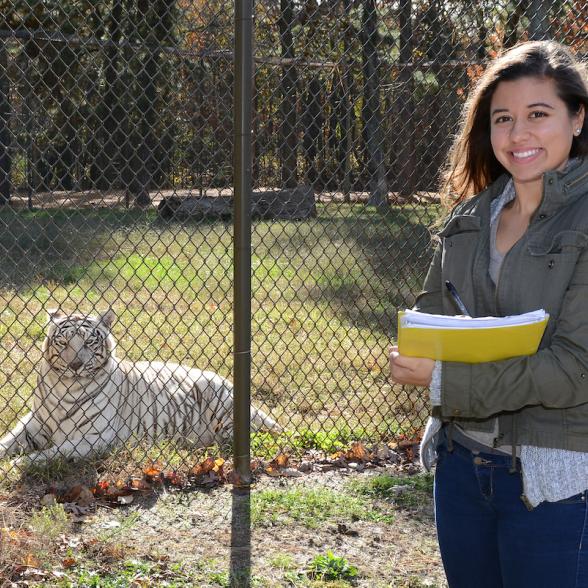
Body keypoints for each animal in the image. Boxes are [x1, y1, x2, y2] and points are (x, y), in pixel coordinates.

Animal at [0, 310, 280, 462]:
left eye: (89, 342)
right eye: (63, 342)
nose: (76, 365)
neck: (63, 387)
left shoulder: (92, 438)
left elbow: (52, 453)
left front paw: (19, 463)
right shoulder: (34, 423)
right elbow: (8, 440)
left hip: (221, 409)